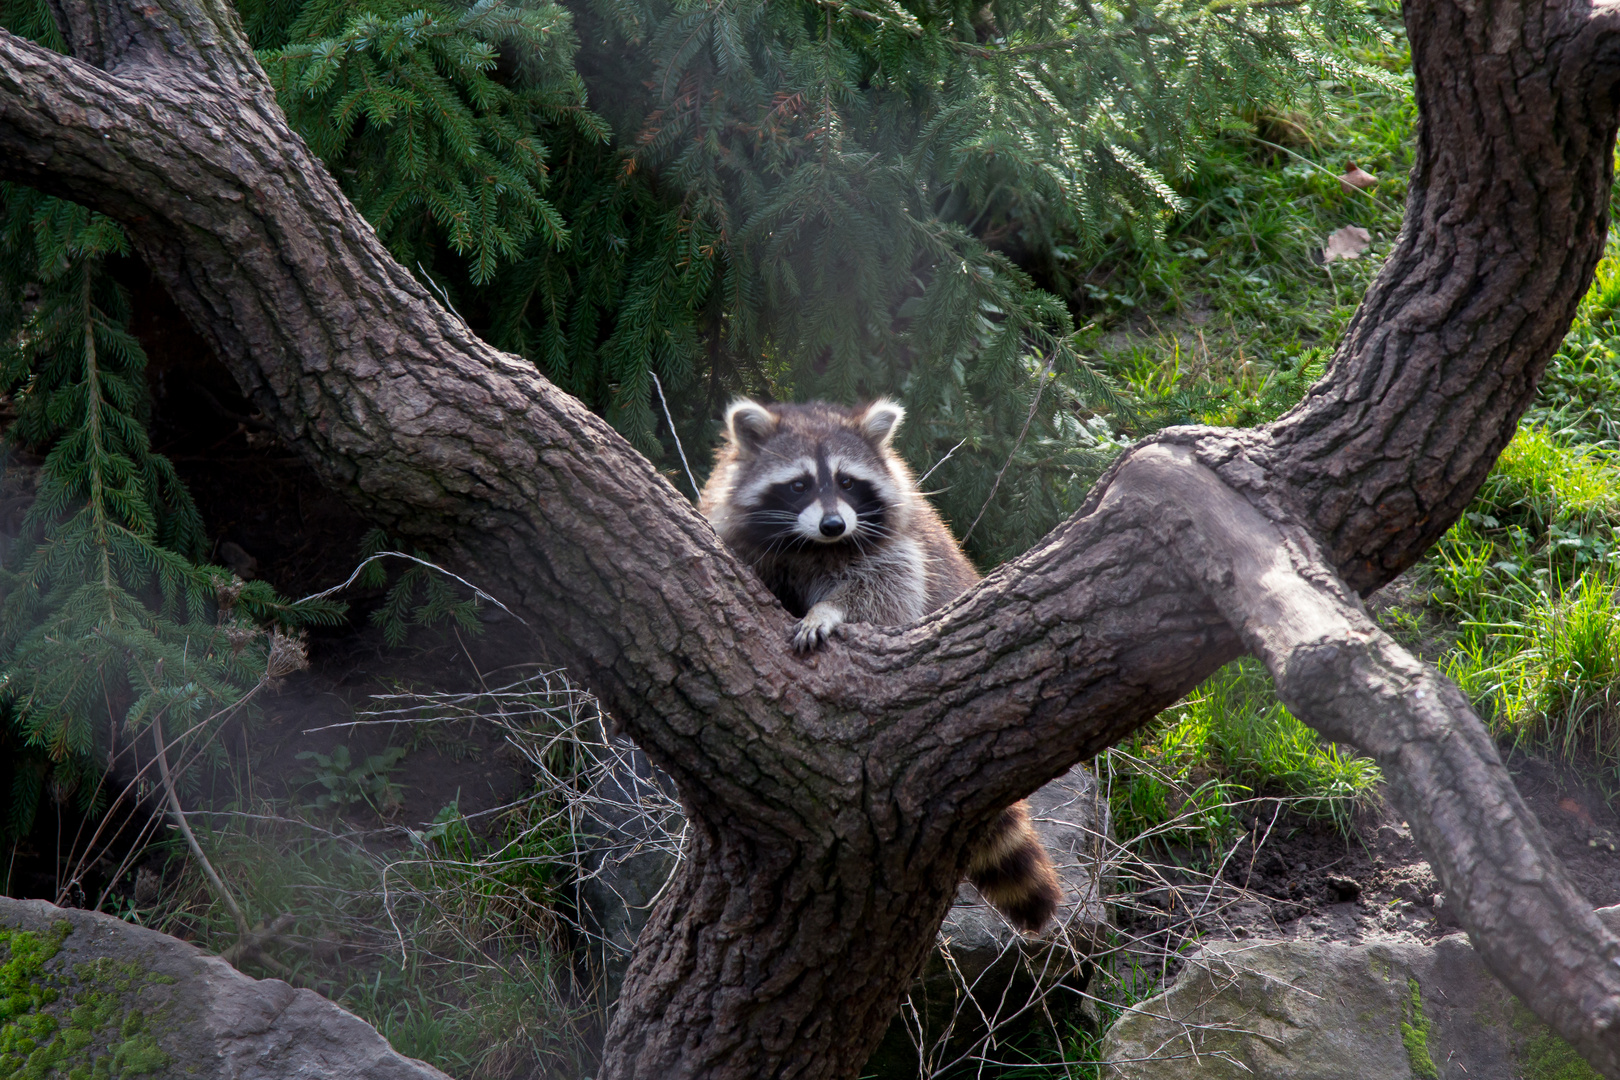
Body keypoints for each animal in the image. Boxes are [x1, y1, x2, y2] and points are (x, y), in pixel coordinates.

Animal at [696, 401, 1062, 932]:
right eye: (799, 485)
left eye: (847, 482)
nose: (833, 524)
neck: (813, 546)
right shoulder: (742, 534)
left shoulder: (892, 544)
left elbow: (885, 588)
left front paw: (827, 611)